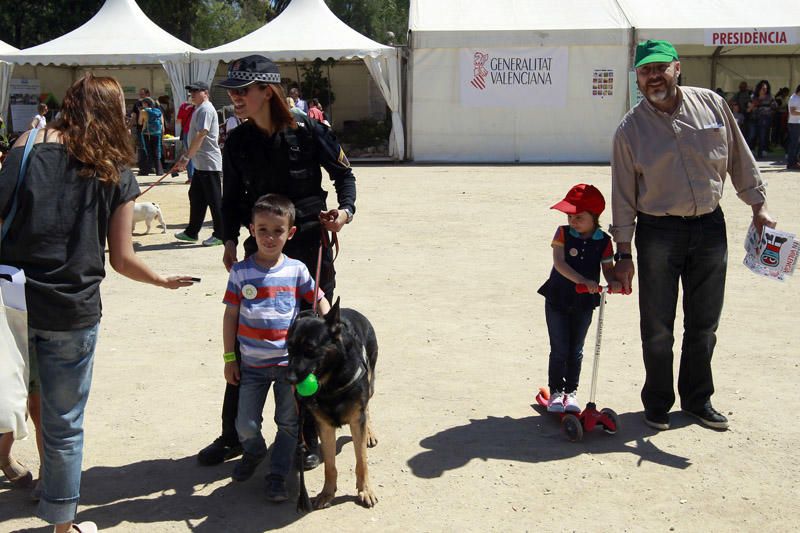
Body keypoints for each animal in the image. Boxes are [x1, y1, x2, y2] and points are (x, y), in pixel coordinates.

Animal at [286, 298, 380, 510]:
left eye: (310, 349)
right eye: (289, 348)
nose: (289, 379)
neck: (332, 381)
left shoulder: (356, 420)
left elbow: (361, 461)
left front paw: (365, 490)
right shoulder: (324, 426)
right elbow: (329, 466)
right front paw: (327, 493)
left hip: (370, 384)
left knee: (368, 406)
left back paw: (370, 433)